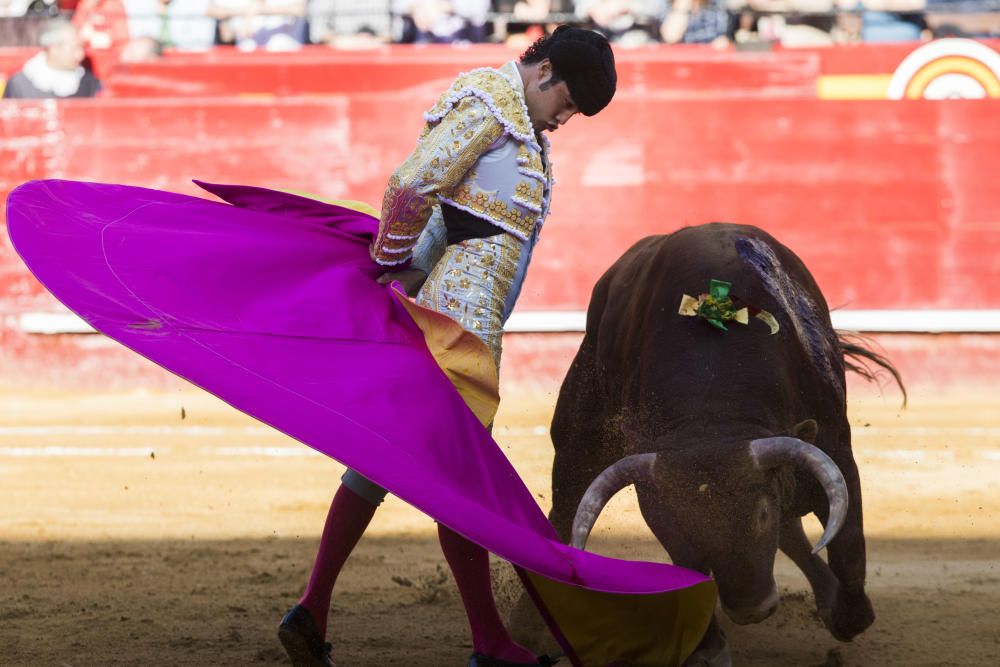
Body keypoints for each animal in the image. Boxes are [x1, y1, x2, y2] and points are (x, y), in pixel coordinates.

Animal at [544, 226, 904, 667]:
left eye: (762, 514)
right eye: (674, 526)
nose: (752, 611)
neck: (714, 415)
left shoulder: (835, 448)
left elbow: (848, 545)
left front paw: (846, 615)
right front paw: (709, 647)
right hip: (577, 434)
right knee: (564, 510)